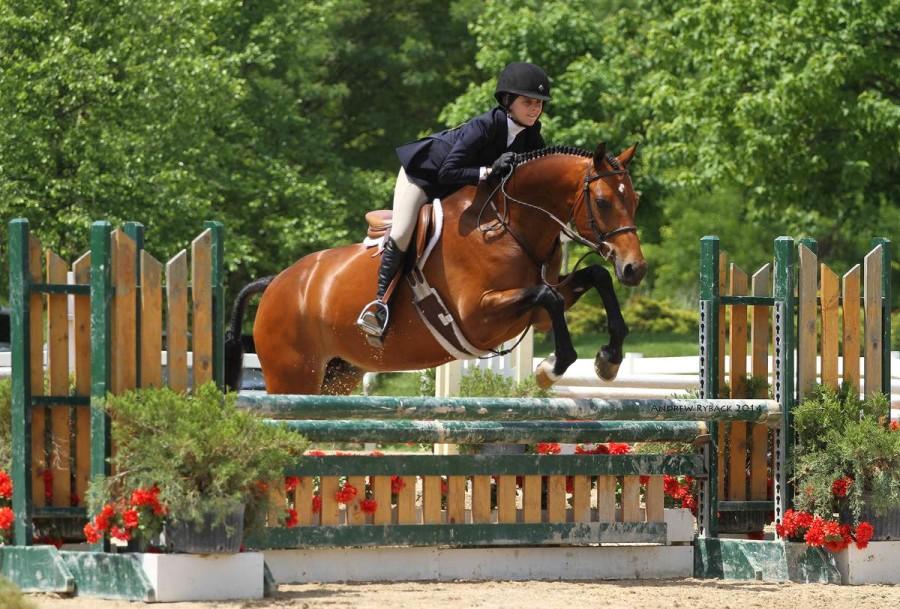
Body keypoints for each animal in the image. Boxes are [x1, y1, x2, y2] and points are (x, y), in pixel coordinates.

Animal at [225, 145, 648, 396]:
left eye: (635, 199)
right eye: (602, 201)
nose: (635, 269)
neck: (507, 226)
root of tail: (276, 283)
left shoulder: (536, 315)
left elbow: (593, 278)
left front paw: (609, 359)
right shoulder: (478, 316)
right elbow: (549, 295)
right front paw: (551, 368)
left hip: (340, 374)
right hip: (292, 375)